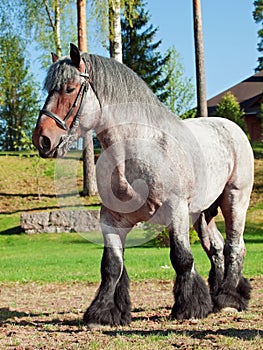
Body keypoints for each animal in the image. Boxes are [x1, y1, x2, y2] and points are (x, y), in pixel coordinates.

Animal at [32, 44, 255, 328]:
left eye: (69, 88)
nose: (42, 139)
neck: (135, 150)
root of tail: (230, 127)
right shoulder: (112, 219)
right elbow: (112, 265)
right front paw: (103, 314)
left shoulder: (175, 211)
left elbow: (181, 257)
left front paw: (189, 308)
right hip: (203, 214)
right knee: (215, 247)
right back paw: (219, 296)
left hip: (234, 200)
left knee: (234, 247)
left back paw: (229, 298)